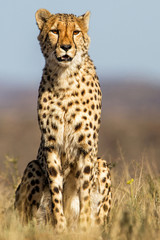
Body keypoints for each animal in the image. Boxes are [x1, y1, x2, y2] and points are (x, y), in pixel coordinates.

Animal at [15, 9, 112, 232]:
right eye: (54, 31)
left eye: (76, 32)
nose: (66, 47)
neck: (65, 76)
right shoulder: (51, 145)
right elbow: (56, 191)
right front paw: (60, 227)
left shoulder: (86, 147)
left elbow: (84, 192)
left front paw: (84, 228)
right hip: (33, 167)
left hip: (102, 164)